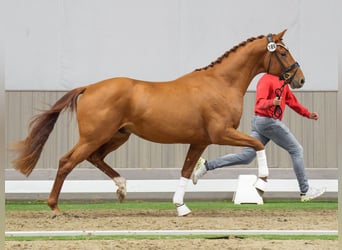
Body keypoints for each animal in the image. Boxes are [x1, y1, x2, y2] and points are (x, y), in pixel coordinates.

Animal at [11, 29, 304, 217]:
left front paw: (181, 207)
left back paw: (121, 188)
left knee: (95, 158)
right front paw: (261, 183)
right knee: (66, 162)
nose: (300, 79)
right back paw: (55, 207)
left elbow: (186, 171)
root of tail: (90, 87)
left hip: (118, 136)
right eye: (283, 53)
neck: (221, 83)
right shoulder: (221, 133)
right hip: (94, 136)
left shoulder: (200, 141)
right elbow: (257, 144)